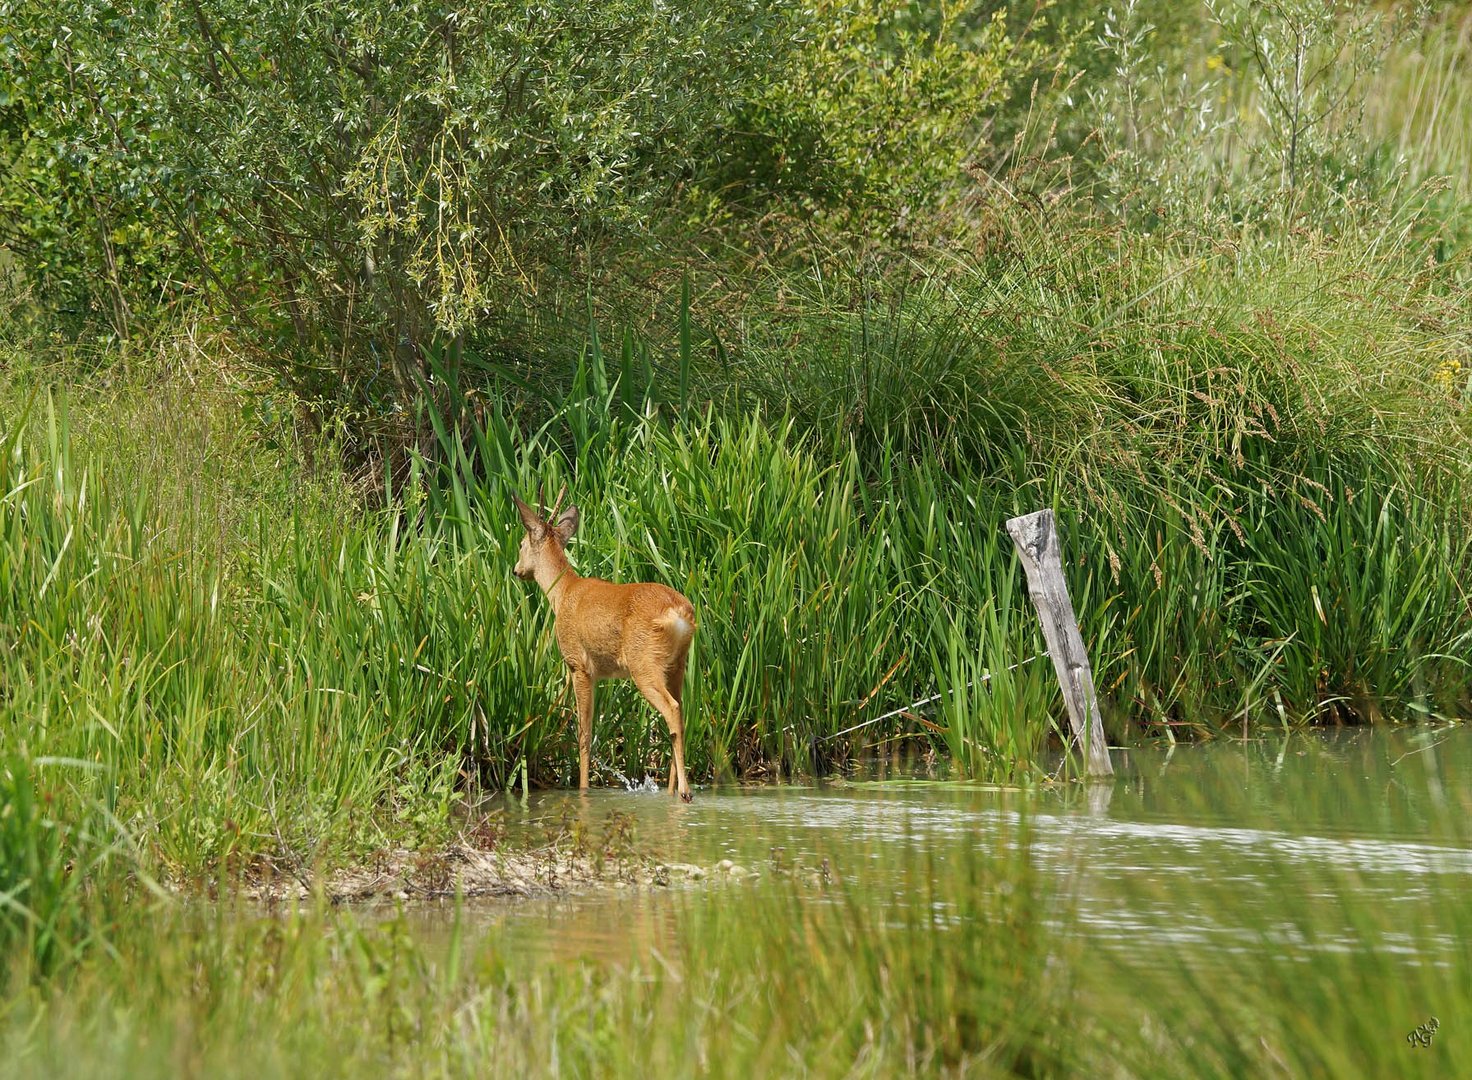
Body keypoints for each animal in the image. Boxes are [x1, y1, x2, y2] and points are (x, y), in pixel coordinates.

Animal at [515, 485, 697, 800]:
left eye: (522, 544)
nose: (516, 570)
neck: (562, 593)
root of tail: (679, 613)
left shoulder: (578, 665)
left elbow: (584, 734)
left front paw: (583, 789)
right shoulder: (599, 674)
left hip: (643, 662)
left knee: (672, 709)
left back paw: (685, 792)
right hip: (677, 665)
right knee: (681, 711)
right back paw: (672, 791)